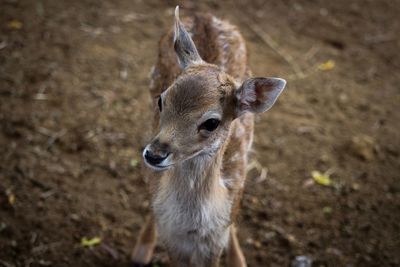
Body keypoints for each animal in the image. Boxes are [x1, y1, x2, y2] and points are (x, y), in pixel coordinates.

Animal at [133, 6, 286, 267]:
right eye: (162, 100)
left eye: (212, 122)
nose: (154, 154)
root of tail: (203, 14)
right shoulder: (172, 241)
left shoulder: (214, 242)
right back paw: (141, 250)